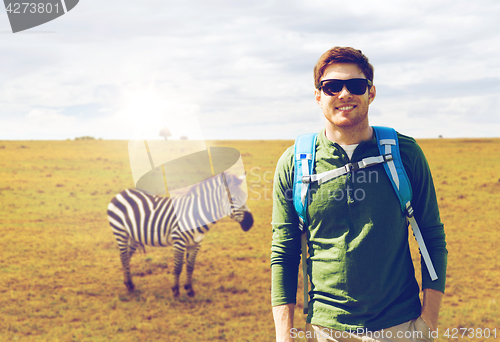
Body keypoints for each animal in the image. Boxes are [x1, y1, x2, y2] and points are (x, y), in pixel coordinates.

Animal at [106, 174, 254, 296]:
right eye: (232, 198)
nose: (250, 223)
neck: (196, 214)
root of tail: (122, 193)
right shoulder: (179, 241)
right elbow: (177, 267)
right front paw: (176, 290)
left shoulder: (196, 243)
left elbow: (190, 267)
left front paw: (189, 289)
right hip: (120, 231)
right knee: (123, 257)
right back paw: (130, 285)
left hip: (134, 236)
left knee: (126, 257)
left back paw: (128, 283)